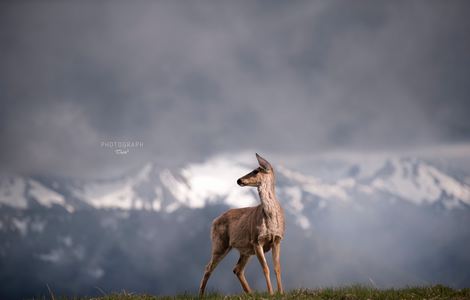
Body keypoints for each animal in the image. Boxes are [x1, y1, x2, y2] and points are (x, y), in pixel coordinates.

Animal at [199, 154, 284, 296]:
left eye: (256, 171)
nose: (239, 180)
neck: (270, 218)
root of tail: (214, 221)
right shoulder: (256, 240)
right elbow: (265, 268)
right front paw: (271, 294)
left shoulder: (277, 240)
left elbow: (277, 268)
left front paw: (281, 292)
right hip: (220, 243)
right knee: (208, 267)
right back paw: (201, 295)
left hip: (245, 249)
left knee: (237, 269)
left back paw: (251, 293)